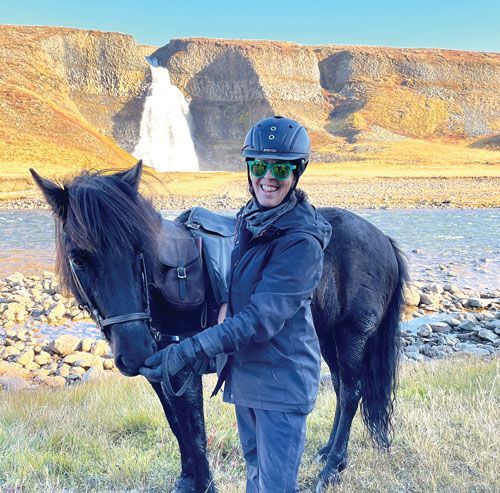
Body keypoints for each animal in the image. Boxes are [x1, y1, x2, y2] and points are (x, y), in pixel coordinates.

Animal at [30, 160, 406, 488]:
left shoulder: (181, 368)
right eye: (79, 257)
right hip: (327, 337)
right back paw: (328, 454)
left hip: (351, 336)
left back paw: (331, 470)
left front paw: (203, 484)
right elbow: (177, 426)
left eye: (139, 248)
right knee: (342, 387)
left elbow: (194, 434)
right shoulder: (159, 373)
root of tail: (382, 239)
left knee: (352, 392)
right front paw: (185, 480)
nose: (135, 351)